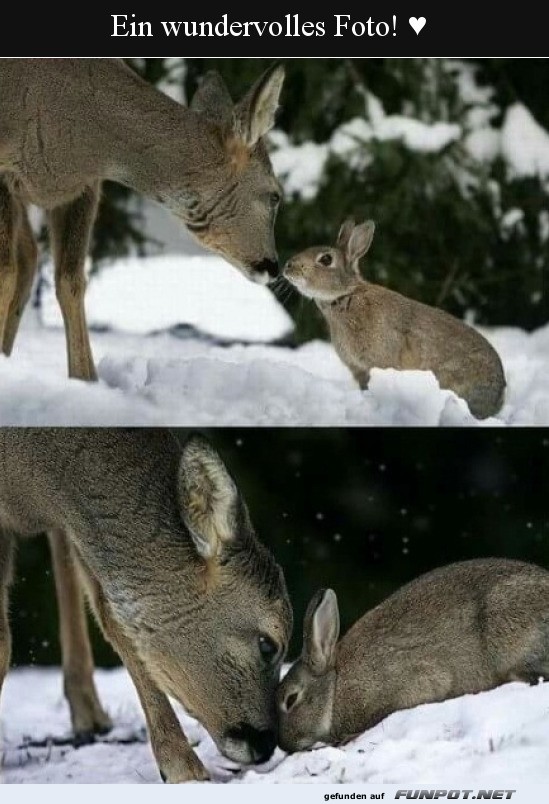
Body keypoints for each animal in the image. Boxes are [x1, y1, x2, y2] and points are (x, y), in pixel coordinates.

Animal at [0, 59, 282, 380]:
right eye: (275, 195)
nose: (273, 266)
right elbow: (5, 272)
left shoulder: (82, 187)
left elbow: (70, 281)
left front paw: (86, 380)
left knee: (30, 256)